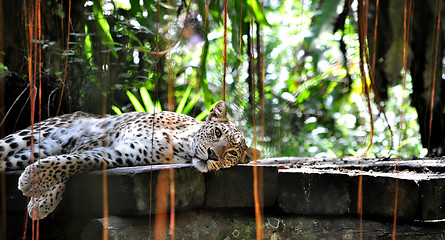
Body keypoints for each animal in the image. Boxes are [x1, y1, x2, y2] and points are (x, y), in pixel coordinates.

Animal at [0, 100, 260, 220]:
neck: (183, 145)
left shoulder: (119, 153)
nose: (213, 155)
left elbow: (75, 162)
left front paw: (39, 197)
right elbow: (68, 160)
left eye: (232, 154)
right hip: (27, 137)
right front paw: (38, 191)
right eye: (217, 133)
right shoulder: (100, 138)